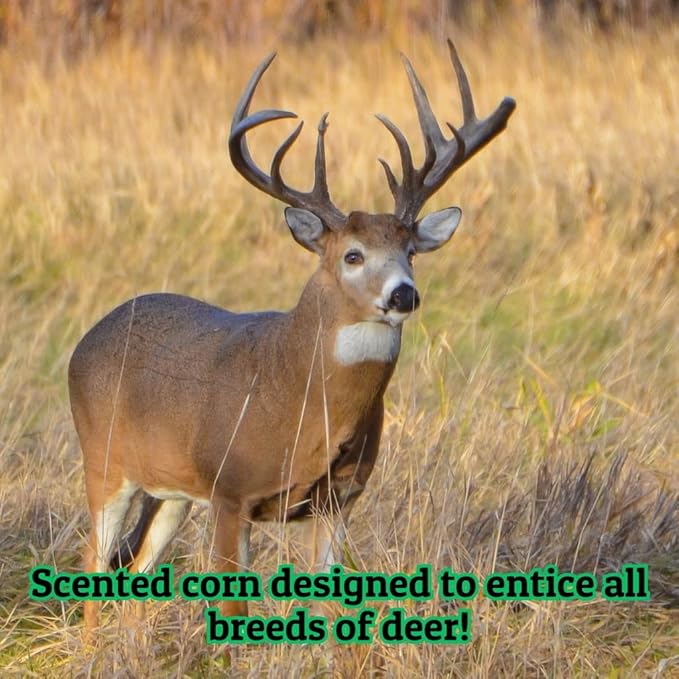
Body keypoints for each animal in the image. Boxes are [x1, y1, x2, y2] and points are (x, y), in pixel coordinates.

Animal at [68, 39, 515, 639]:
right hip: (105, 459)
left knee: (137, 571)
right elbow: (233, 615)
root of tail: (88, 338)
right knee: (94, 563)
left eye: (411, 252)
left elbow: (333, 611)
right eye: (353, 255)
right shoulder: (231, 491)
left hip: (171, 491)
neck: (302, 397)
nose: (403, 295)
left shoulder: (336, 502)